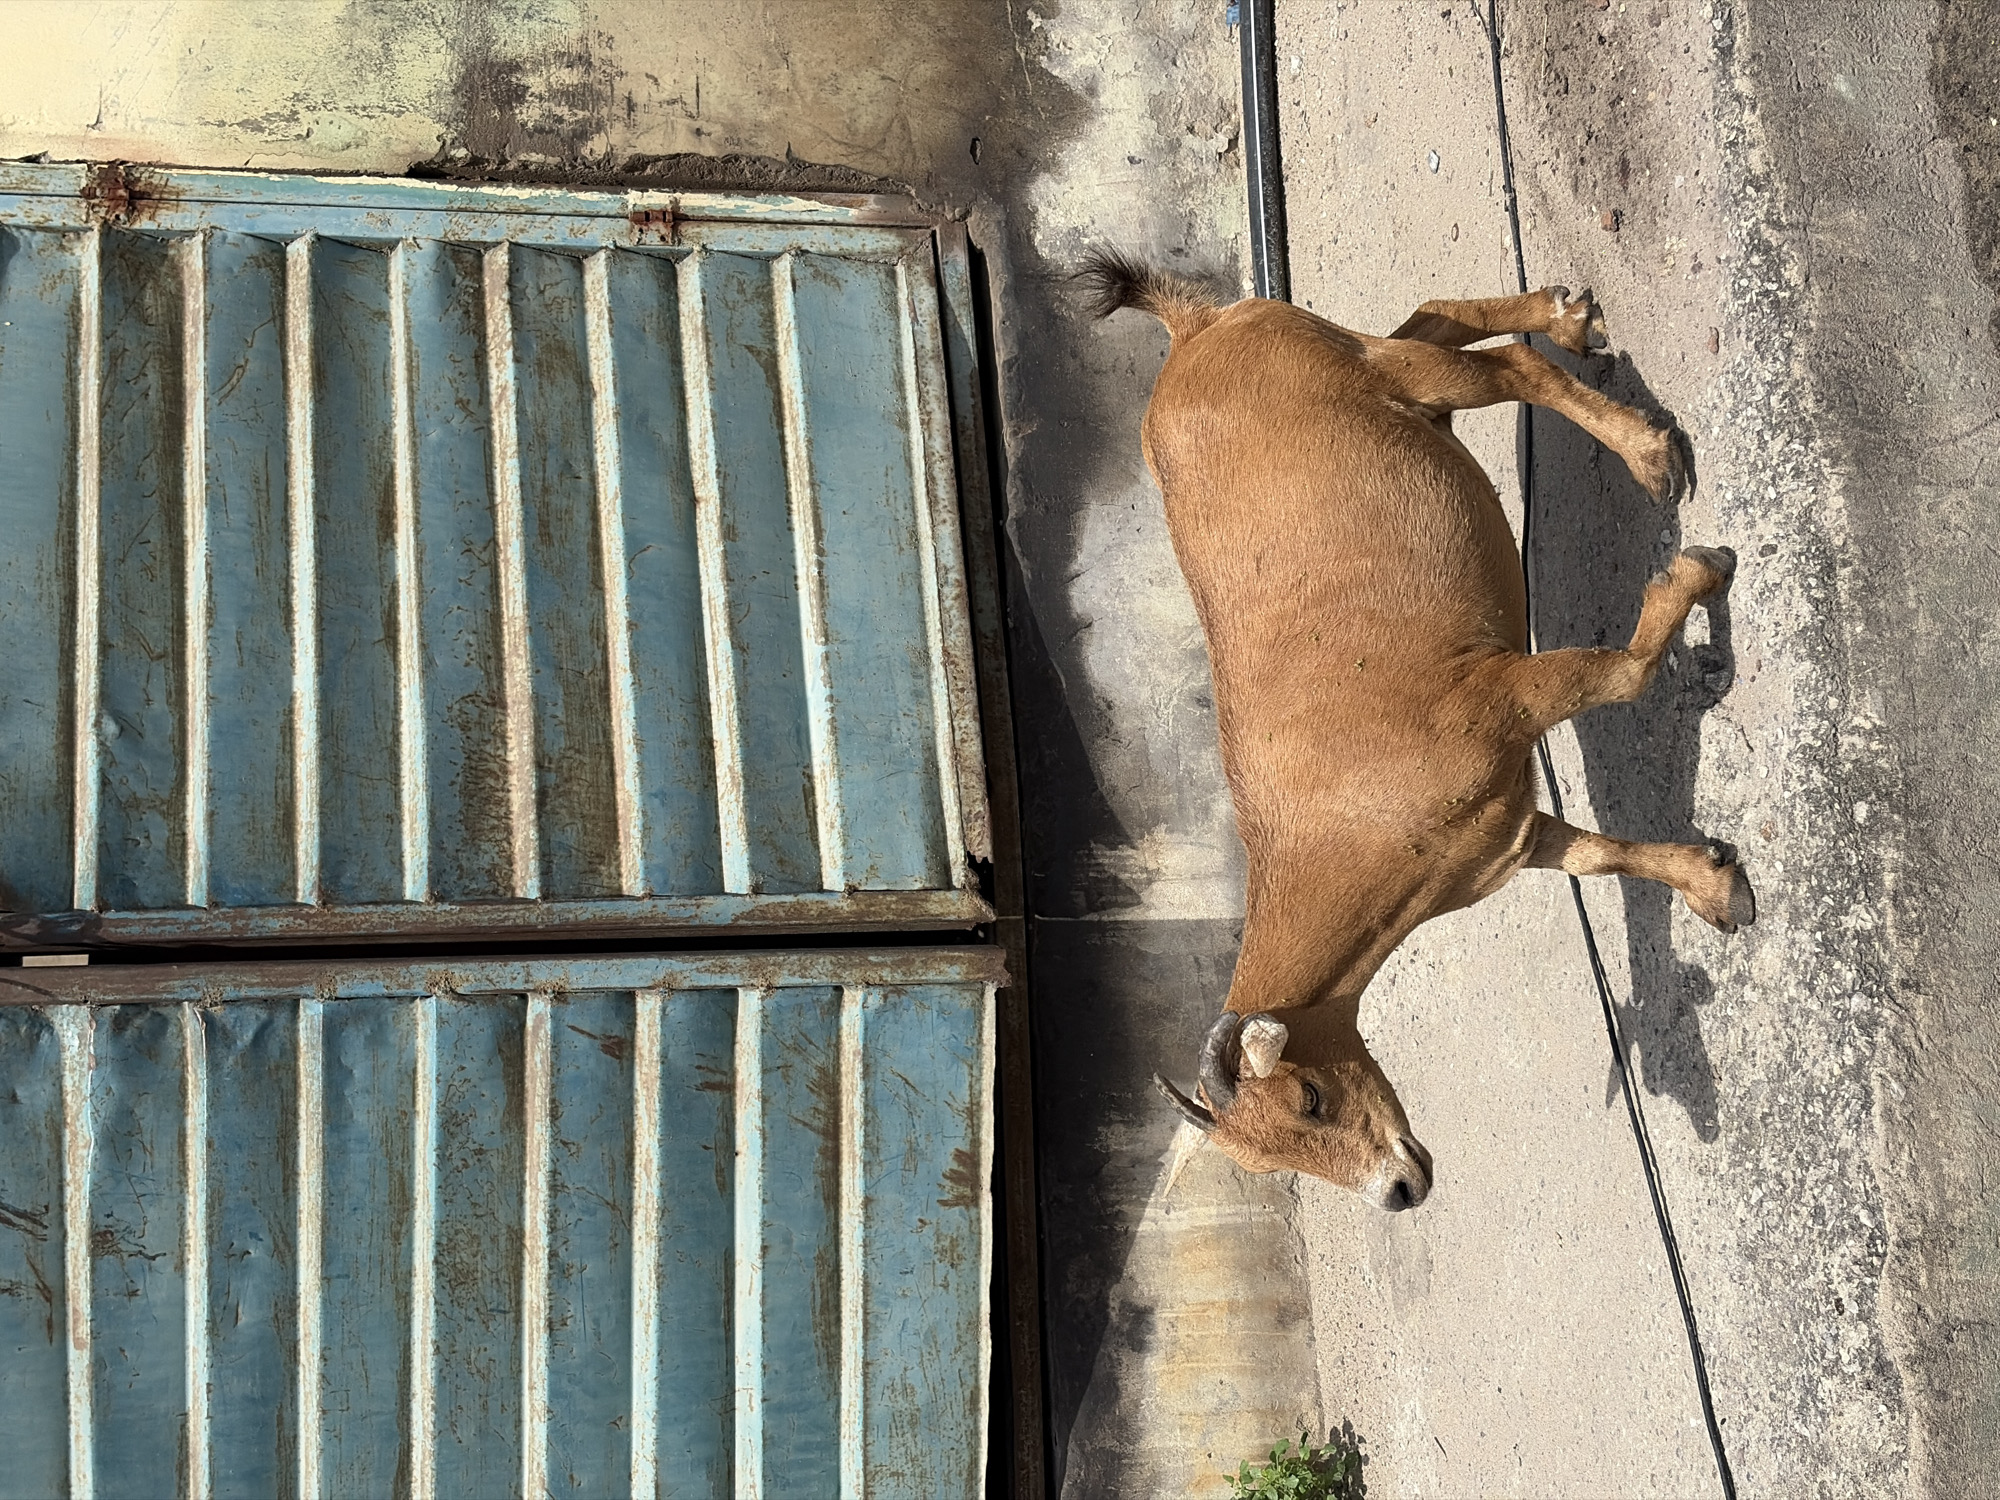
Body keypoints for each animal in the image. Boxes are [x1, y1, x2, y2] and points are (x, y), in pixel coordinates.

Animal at [1080, 253, 1754, 1212]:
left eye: (1311, 1097)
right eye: (1276, 1163)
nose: (1396, 1191)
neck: (1348, 822)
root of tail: (1196, 332)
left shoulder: (1501, 695)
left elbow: (1624, 673)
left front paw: (1695, 571)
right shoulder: (1504, 833)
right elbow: (1592, 857)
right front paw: (1714, 886)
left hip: (1379, 373)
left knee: (1506, 368)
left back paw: (1646, 449)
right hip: (1381, 372)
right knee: (1435, 322)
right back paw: (1567, 317)